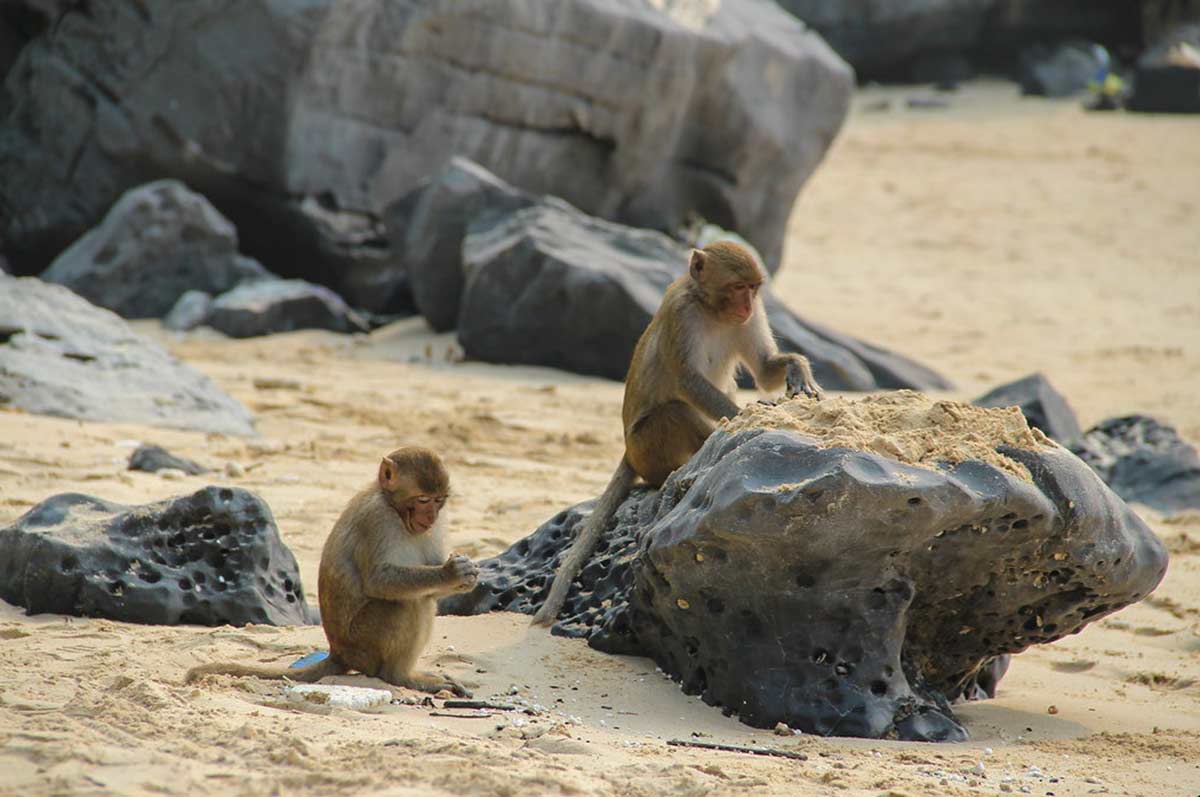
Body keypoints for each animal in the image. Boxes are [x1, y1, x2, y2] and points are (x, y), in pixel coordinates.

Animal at [184, 444, 475, 696]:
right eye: (423, 499)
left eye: (439, 501)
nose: (430, 517)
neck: (393, 507)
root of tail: (337, 652)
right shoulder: (377, 519)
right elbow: (379, 581)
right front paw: (451, 573)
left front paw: (464, 577)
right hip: (363, 644)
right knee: (407, 604)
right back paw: (400, 676)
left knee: (420, 598)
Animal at [530, 240, 820, 624]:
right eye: (737, 287)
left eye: (752, 288)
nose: (745, 306)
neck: (710, 309)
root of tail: (629, 452)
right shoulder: (681, 313)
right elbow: (688, 381)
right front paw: (748, 417)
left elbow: (764, 371)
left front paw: (798, 371)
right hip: (646, 447)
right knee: (673, 411)